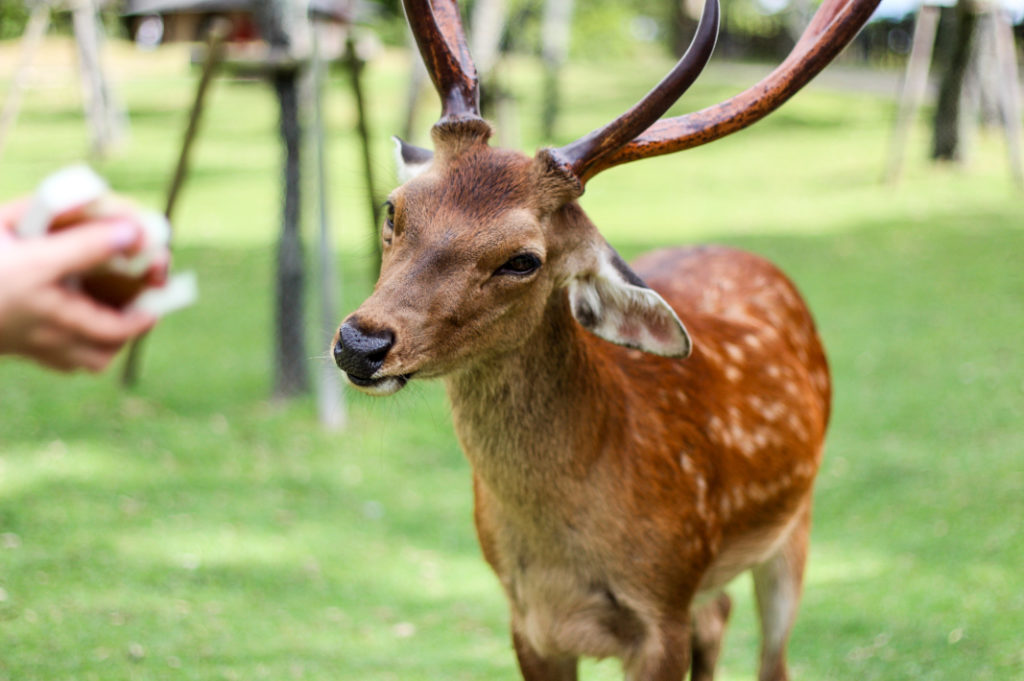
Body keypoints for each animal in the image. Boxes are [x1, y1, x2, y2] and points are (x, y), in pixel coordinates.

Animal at [335, 0, 880, 675]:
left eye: (522, 259)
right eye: (393, 209)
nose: (359, 343)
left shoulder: (665, 603)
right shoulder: (525, 619)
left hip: (793, 526)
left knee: (771, 654)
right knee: (719, 615)